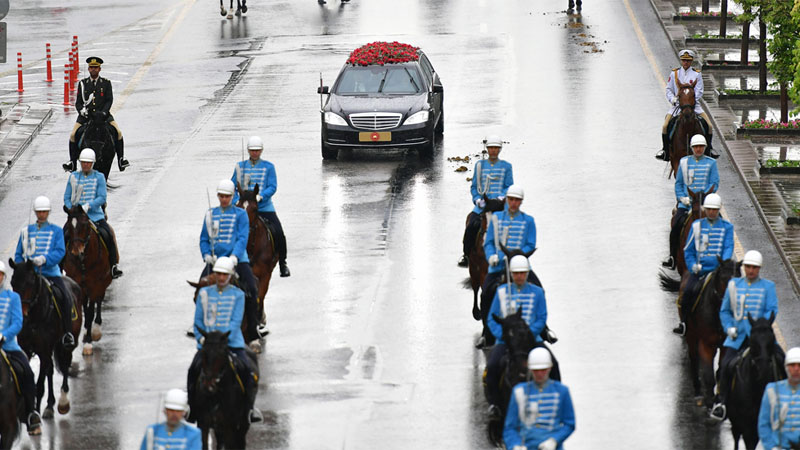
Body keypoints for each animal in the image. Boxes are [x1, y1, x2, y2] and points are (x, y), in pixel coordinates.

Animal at [8, 258, 82, 420]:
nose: (21, 313)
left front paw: (35, 412)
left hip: (67, 343)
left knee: (65, 365)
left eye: (30, 282)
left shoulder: (44, 351)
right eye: (12, 282)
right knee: (50, 371)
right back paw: (50, 404)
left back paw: (62, 402)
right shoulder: (28, 350)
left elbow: (39, 385)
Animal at [62, 206, 111, 356]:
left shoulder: (96, 284)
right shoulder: (80, 284)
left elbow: (90, 311)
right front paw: (86, 334)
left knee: (99, 300)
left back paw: (96, 328)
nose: (77, 251)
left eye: (84, 225)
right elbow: (84, 307)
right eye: (69, 226)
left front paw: (90, 340)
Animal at [724, 312, 788, 450]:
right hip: (735, 420)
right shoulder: (746, 424)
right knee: (736, 437)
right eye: (753, 341)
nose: (763, 369)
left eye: (771, 339)